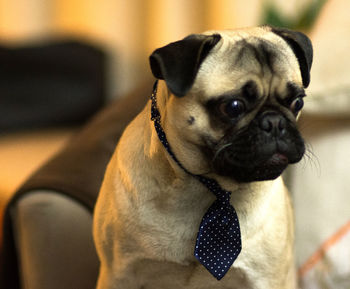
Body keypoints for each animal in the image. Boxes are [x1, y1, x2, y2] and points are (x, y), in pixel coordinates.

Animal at [92, 25, 312, 286]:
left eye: (297, 103)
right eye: (233, 107)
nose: (275, 122)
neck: (211, 188)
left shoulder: (268, 278)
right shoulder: (118, 274)